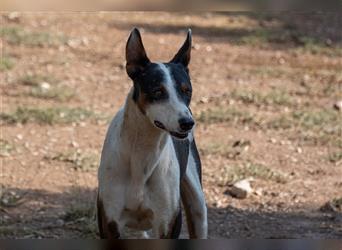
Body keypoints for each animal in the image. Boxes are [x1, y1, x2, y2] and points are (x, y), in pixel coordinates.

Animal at [97, 27, 208, 238]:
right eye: (157, 92)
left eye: (187, 91)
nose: (188, 123)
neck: (142, 152)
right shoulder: (109, 221)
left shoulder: (168, 224)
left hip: (197, 204)